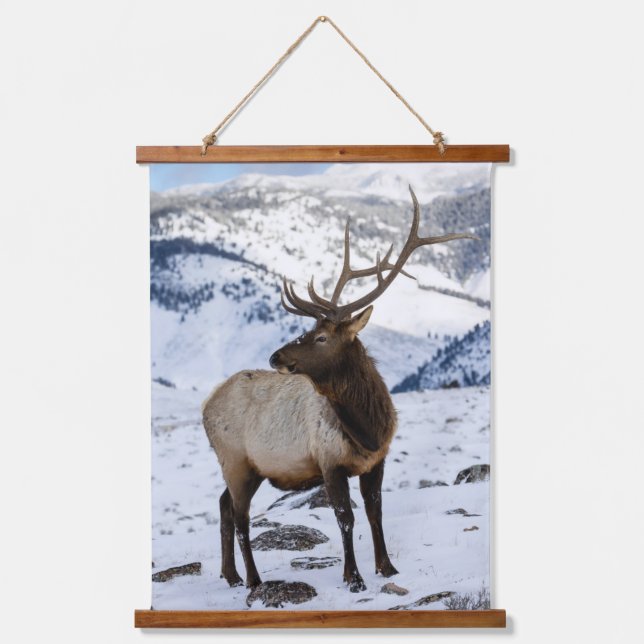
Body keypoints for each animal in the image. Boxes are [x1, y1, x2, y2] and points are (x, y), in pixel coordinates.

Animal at [202, 186, 476, 592]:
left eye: (320, 336)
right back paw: (253, 579)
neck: (368, 428)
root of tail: (205, 406)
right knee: (239, 517)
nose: (275, 355)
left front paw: (387, 567)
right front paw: (354, 577)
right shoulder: (329, 462)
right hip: (235, 461)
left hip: (246, 468)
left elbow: (376, 512)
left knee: (223, 506)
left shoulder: (376, 461)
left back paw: (231, 575)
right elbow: (345, 517)